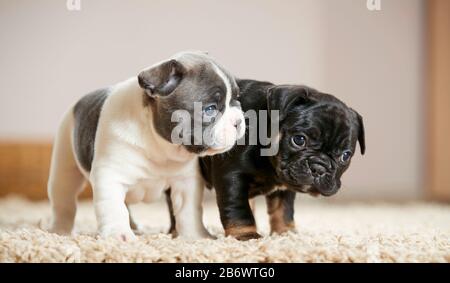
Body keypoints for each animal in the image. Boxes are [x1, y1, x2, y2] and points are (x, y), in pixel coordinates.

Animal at [47, 51, 244, 242]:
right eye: (209, 109)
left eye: (236, 99)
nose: (238, 121)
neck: (159, 144)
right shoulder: (110, 176)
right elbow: (113, 208)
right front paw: (118, 234)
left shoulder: (186, 182)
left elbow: (188, 212)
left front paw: (195, 236)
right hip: (64, 169)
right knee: (64, 202)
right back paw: (60, 230)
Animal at [165, 80, 366, 242]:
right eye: (299, 140)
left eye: (345, 156)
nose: (319, 167)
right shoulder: (231, 178)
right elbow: (238, 210)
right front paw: (246, 235)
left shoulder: (285, 186)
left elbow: (283, 210)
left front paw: (285, 233)